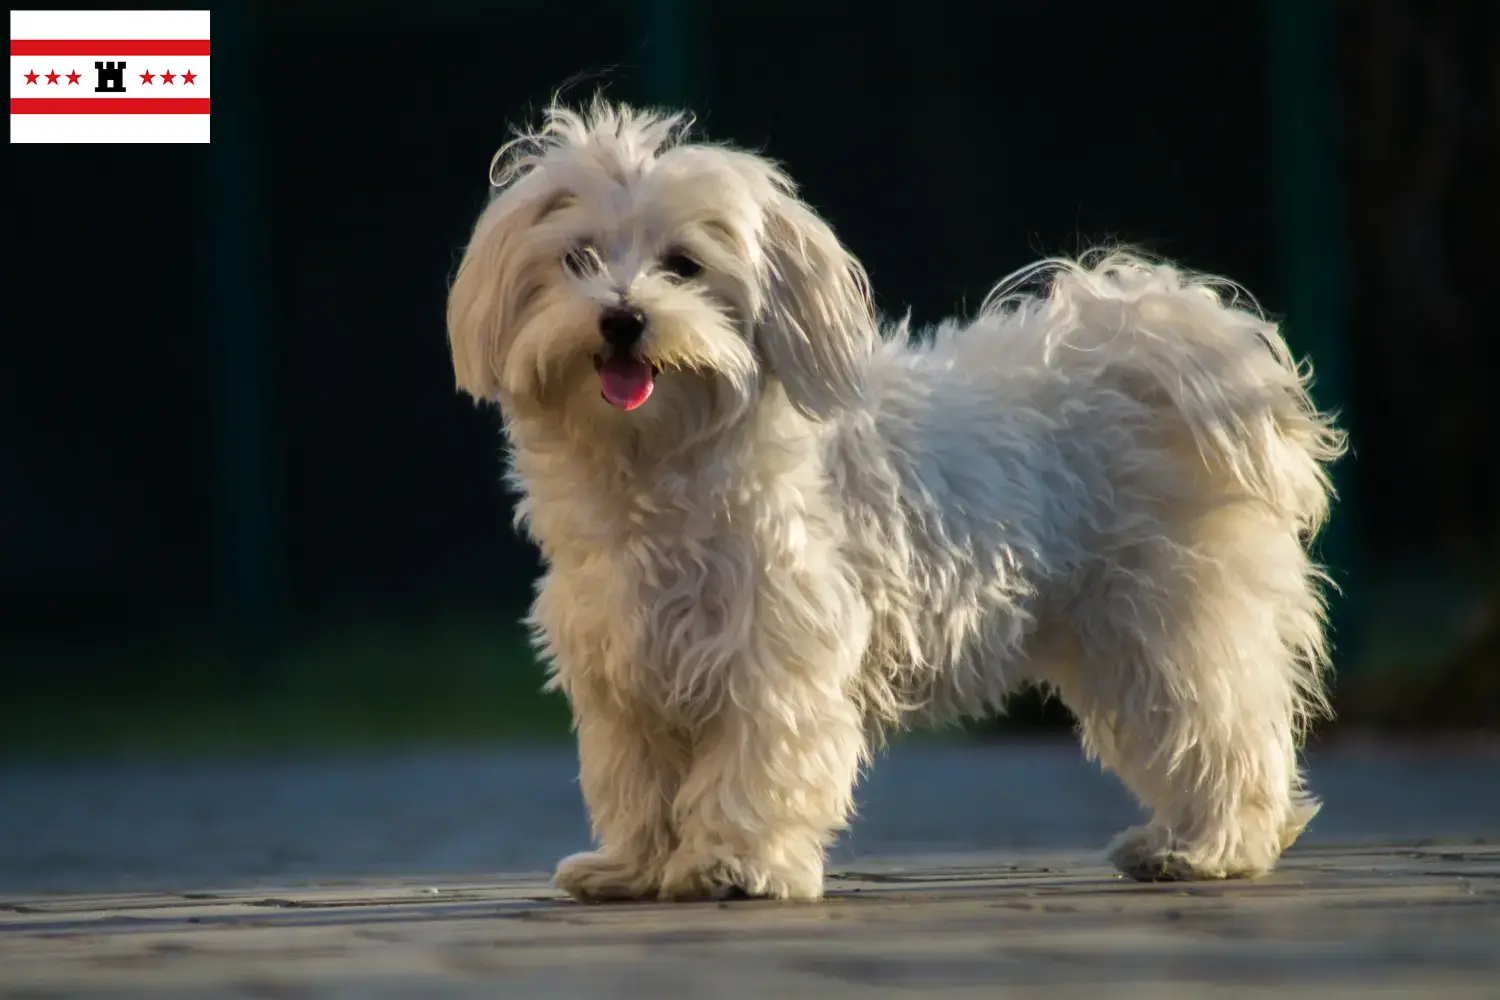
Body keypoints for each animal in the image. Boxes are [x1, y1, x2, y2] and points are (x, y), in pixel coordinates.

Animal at [444, 103, 1350, 905]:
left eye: (684, 265)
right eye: (578, 259)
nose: (623, 318)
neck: (657, 458)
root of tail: (1145, 353)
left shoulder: (773, 647)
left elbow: (756, 761)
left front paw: (732, 864)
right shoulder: (627, 665)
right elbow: (637, 779)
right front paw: (633, 867)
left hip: (1165, 624)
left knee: (1224, 729)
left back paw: (1209, 848)